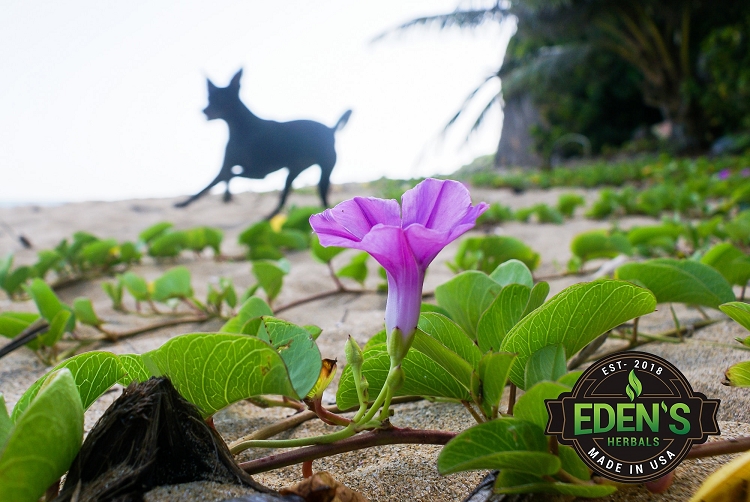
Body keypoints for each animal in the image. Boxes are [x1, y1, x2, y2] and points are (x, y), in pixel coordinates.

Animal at [176, 67, 352, 218]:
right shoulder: (228, 166)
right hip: (293, 172)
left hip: (324, 170)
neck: (242, 131)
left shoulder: (259, 173)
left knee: (322, 197)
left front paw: (226, 195)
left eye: (222, 98)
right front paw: (184, 203)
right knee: (283, 197)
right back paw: (270, 216)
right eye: (209, 97)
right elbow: (208, 185)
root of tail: (330, 129)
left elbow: (228, 175)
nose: (204, 110)